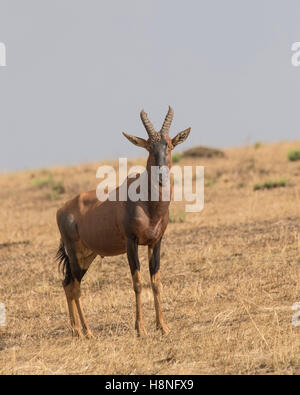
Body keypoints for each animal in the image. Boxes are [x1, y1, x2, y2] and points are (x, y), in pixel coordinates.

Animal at [56, 106, 191, 338]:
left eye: (169, 144)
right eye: (148, 146)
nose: (162, 177)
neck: (147, 203)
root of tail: (61, 209)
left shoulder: (156, 242)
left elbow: (156, 282)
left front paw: (163, 327)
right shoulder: (131, 242)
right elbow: (137, 282)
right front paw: (141, 329)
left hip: (87, 255)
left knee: (68, 283)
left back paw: (78, 331)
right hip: (74, 254)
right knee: (74, 287)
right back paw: (86, 332)